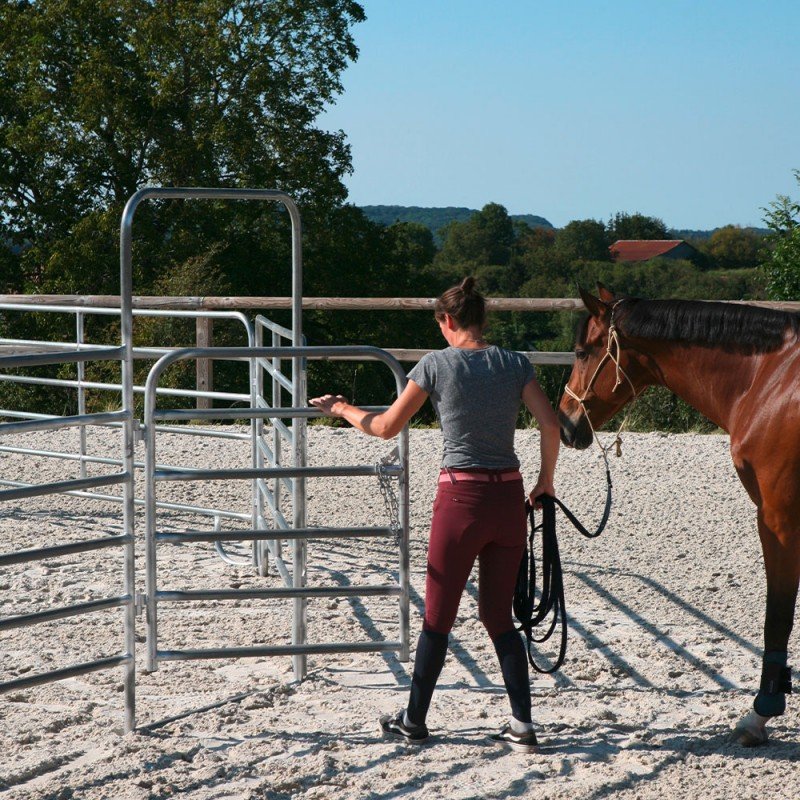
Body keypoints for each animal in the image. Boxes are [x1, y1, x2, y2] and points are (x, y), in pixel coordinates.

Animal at [558, 285, 799, 746]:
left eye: (581, 351)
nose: (565, 422)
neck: (768, 380)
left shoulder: (778, 520)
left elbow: (777, 614)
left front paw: (761, 713)